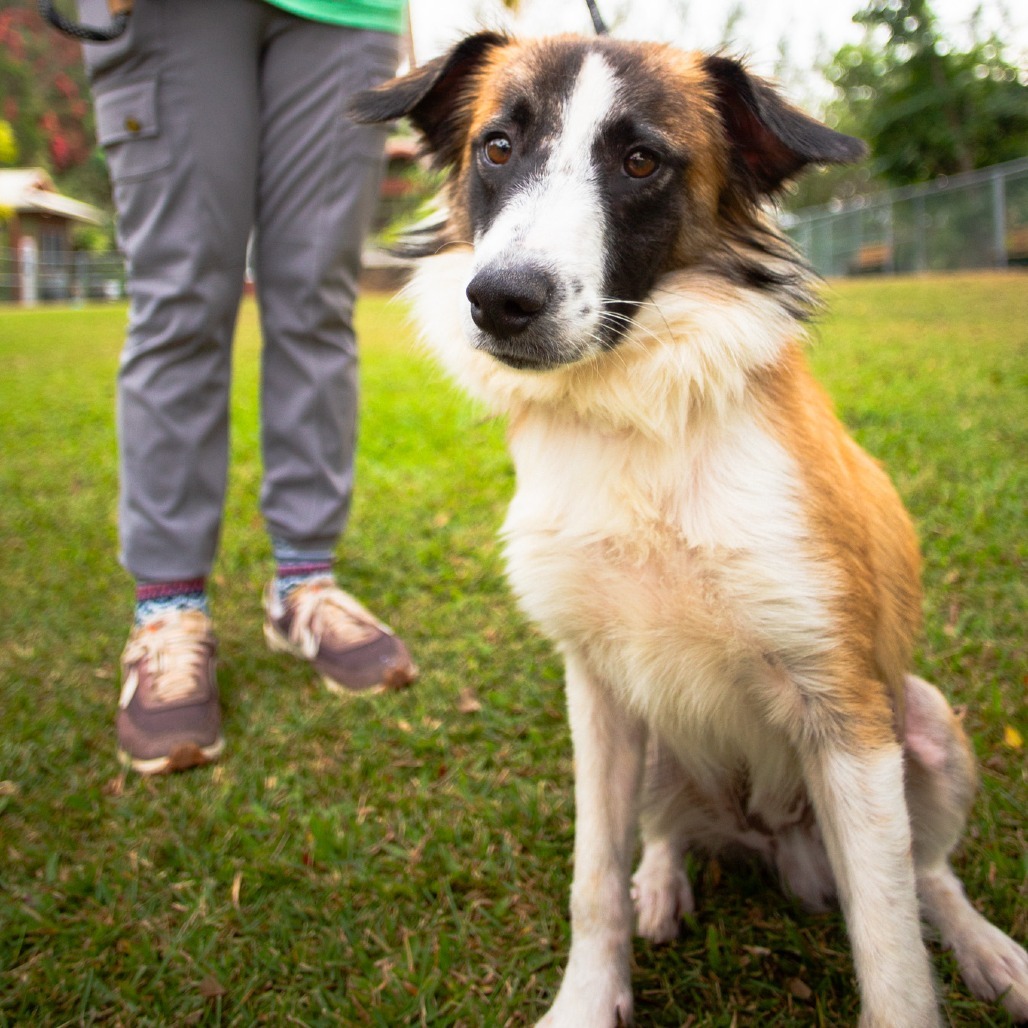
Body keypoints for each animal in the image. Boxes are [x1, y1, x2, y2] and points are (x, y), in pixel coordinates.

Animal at [351, 32, 1028, 1028]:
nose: (500, 300)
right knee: (664, 837)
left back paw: (985, 949)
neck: (637, 424)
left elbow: (893, 946)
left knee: (929, 875)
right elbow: (591, 878)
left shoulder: (847, 714)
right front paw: (590, 997)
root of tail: (776, 843)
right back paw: (662, 887)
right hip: (662, 747)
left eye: (641, 161)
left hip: (925, 721)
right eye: (497, 147)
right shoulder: (594, 691)